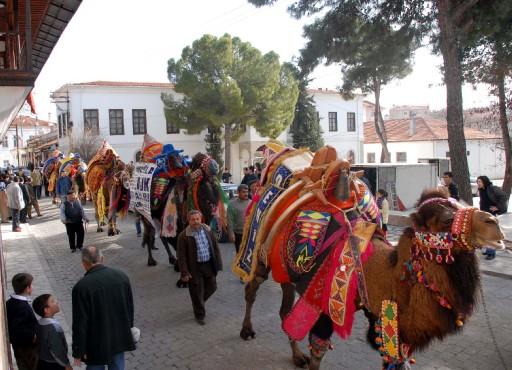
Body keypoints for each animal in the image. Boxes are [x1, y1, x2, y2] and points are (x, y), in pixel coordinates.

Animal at [234, 145, 506, 370]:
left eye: (460, 203)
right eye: (447, 219)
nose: (494, 225)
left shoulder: (381, 312)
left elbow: (394, 357)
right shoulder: (324, 304)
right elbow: (318, 353)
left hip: (286, 271)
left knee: (284, 309)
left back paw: (296, 355)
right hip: (259, 255)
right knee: (251, 289)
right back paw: (247, 330)